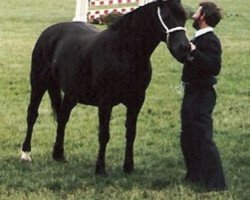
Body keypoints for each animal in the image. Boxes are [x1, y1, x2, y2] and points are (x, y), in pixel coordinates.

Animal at [20, 0, 190, 175]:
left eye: (184, 16)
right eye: (165, 15)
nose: (184, 48)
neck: (123, 52)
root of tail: (48, 32)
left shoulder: (136, 101)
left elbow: (131, 133)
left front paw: (128, 167)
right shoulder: (105, 102)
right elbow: (104, 134)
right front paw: (100, 168)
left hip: (72, 93)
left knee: (62, 117)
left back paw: (58, 154)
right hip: (39, 83)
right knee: (32, 115)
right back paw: (26, 153)